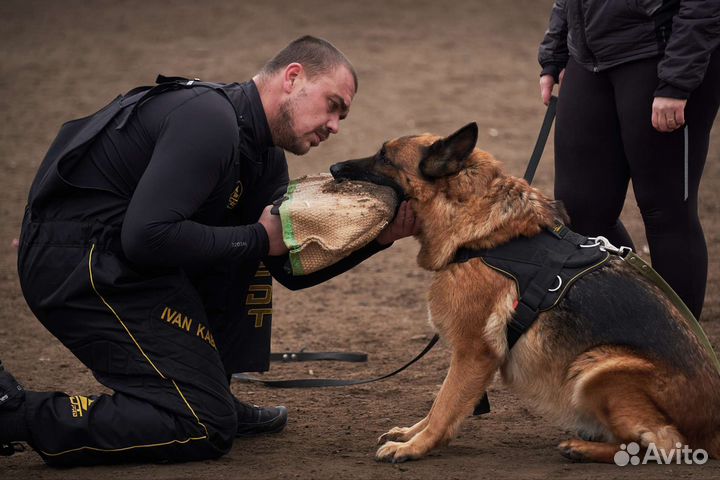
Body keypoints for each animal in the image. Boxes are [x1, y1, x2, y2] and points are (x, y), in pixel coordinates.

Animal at [330, 123, 720, 462]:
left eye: (384, 157)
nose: (333, 167)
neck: (477, 231)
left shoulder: (474, 351)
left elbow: (445, 404)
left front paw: (415, 447)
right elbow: (440, 400)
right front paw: (411, 434)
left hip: (599, 367)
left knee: (666, 443)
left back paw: (584, 448)